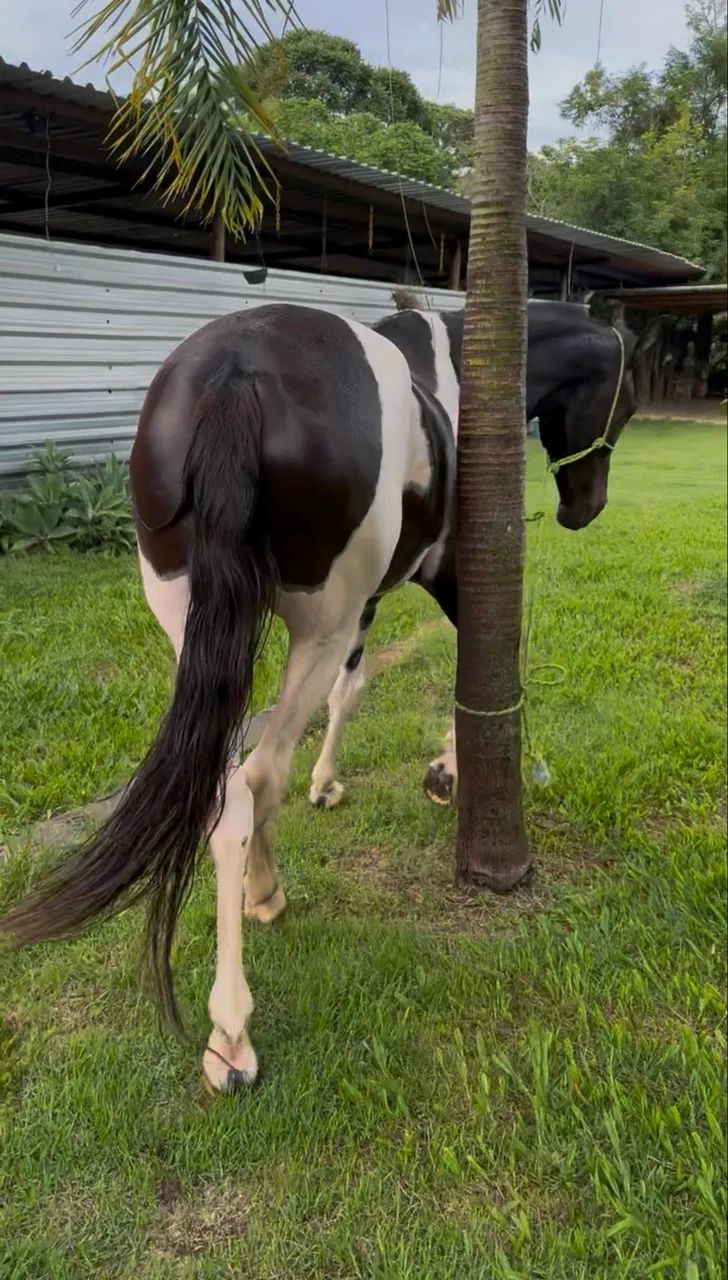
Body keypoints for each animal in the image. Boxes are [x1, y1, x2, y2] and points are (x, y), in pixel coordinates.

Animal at [0, 299, 658, 1094]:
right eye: (629, 401)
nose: (584, 508)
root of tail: (238, 371)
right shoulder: (440, 578)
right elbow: (483, 667)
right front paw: (448, 770)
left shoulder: (363, 607)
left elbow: (351, 691)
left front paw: (329, 783)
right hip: (317, 624)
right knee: (257, 776)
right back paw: (236, 1017)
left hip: (194, 621)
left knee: (225, 787)